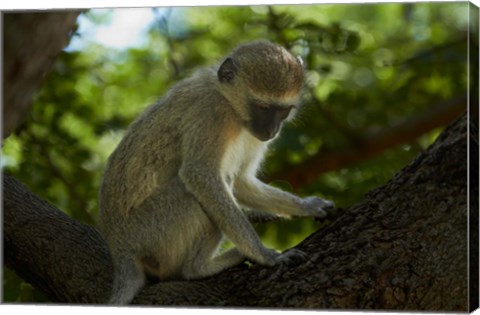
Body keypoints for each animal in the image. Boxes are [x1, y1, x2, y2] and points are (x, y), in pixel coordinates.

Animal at [99, 40, 336, 304]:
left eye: (283, 111)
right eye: (263, 107)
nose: (272, 130)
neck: (230, 103)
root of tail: (119, 247)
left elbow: (242, 181)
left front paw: (308, 206)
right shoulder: (212, 112)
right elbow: (200, 176)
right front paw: (266, 256)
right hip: (150, 232)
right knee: (191, 194)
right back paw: (199, 268)